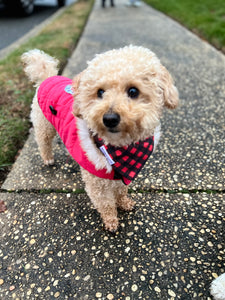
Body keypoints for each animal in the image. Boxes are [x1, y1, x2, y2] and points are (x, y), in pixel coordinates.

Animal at [21, 45, 179, 232]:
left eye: (133, 91)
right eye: (100, 92)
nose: (109, 118)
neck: (119, 149)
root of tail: (47, 77)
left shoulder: (121, 175)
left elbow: (121, 191)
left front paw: (124, 203)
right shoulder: (97, 184)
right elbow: (106, 204)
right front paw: (111, 222)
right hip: (44, 126)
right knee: (43, 142)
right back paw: (48, 159)